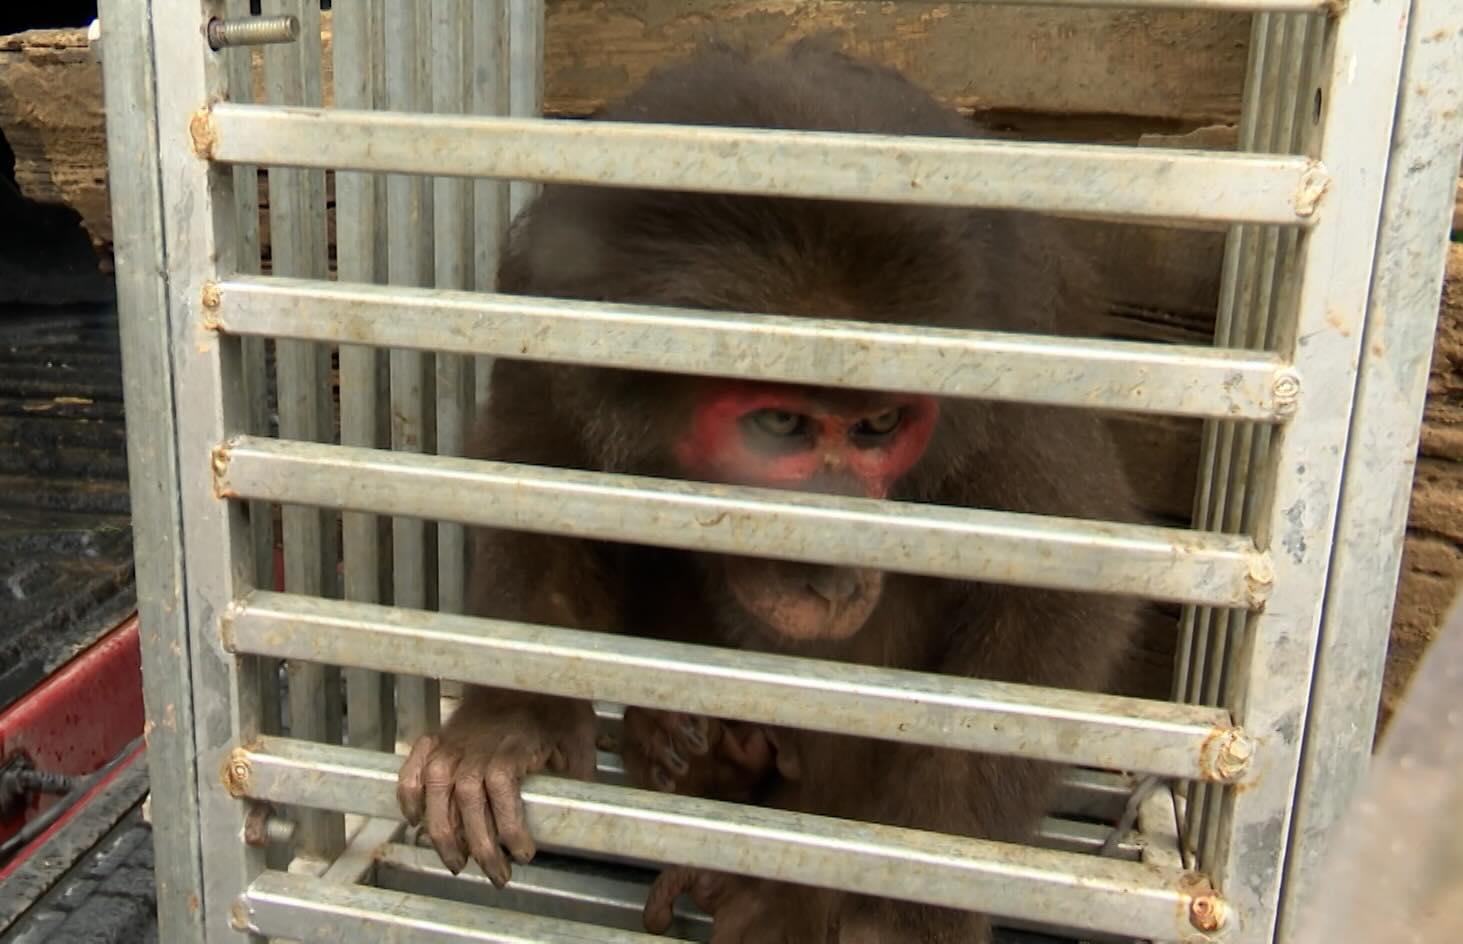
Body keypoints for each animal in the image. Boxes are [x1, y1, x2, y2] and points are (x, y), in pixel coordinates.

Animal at [395, 38, 1147, 943]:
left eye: (879, 425)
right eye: (781, 424)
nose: (830, 569)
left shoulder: (1007, 354)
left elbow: (1063, 588)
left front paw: (911, 900)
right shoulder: (559, 308)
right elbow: (530, 488)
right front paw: (509, 725)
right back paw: (691, 754)